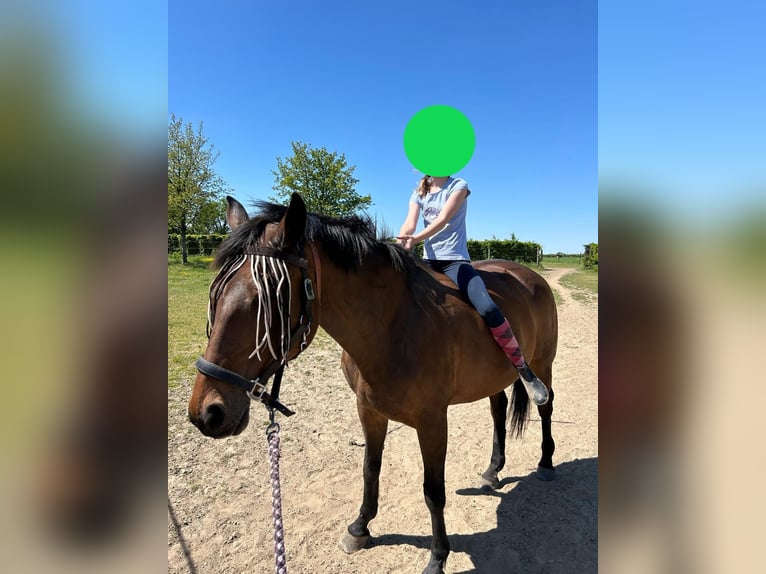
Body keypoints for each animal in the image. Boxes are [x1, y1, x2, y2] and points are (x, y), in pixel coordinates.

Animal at [188, 193, 558, 574]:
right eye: (214, 296)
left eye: (264, 303)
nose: (208, 412)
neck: (394, 325)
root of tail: (531, 276)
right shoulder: (369, 409)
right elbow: (370, 468)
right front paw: (360, 527)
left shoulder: (432, 421)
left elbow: (433, 489)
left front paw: (438, 556)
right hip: (492, 378)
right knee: (499, 411)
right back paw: (492, 471)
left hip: (542, 364)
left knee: (546, 406)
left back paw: (545, 462)